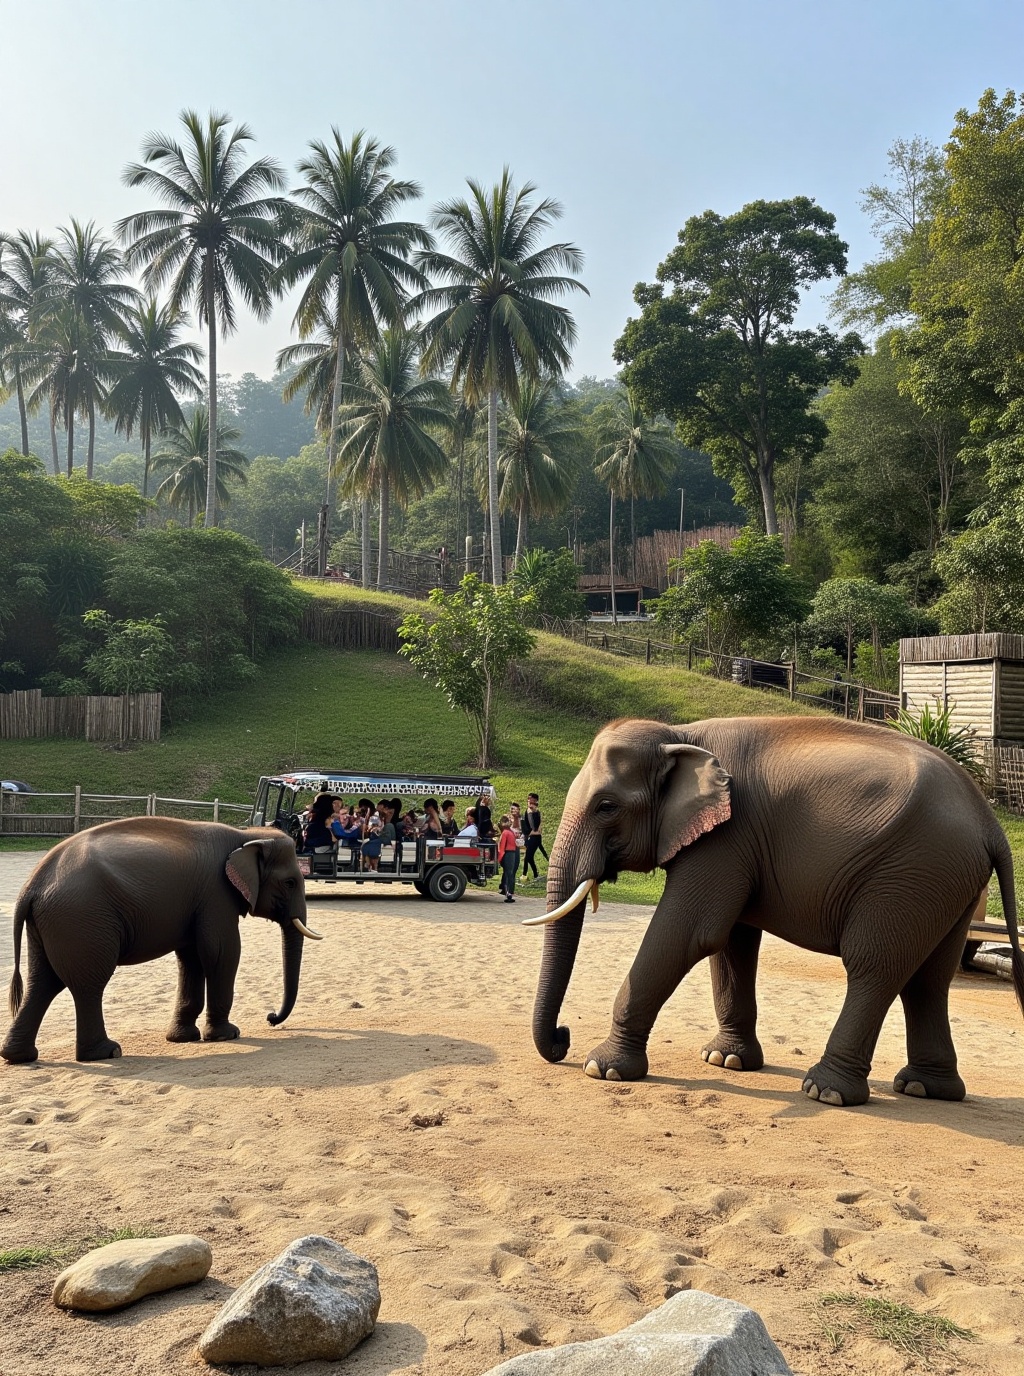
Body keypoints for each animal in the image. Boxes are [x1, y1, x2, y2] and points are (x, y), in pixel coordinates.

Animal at [3, 817, 322, 1064]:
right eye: (290, 882)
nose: (271, 1017)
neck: (246, 835)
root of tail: (32, 885)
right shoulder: (216, 894)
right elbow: (221, 952)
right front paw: (227, 1035)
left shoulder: (198, 903)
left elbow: (192, 958)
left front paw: (184, 1039)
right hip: (82, 920)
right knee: (88, 984)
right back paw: (107, 1053)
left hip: (52, 924)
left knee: (44, 982)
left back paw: (19, 1057)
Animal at [527, 716, 1024, 1107]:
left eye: (606, 806)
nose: (563, 1038)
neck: (680, 734)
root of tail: (990, 823)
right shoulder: (739, 844)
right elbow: (730, 942)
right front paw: (726, 1060)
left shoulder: (727, 838)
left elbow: (692, 932)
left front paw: (602, 1068)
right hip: (949, 882)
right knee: (929, 978)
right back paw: (925, 1089)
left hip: (911, 873)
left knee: (874, 966)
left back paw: (827, 1093)